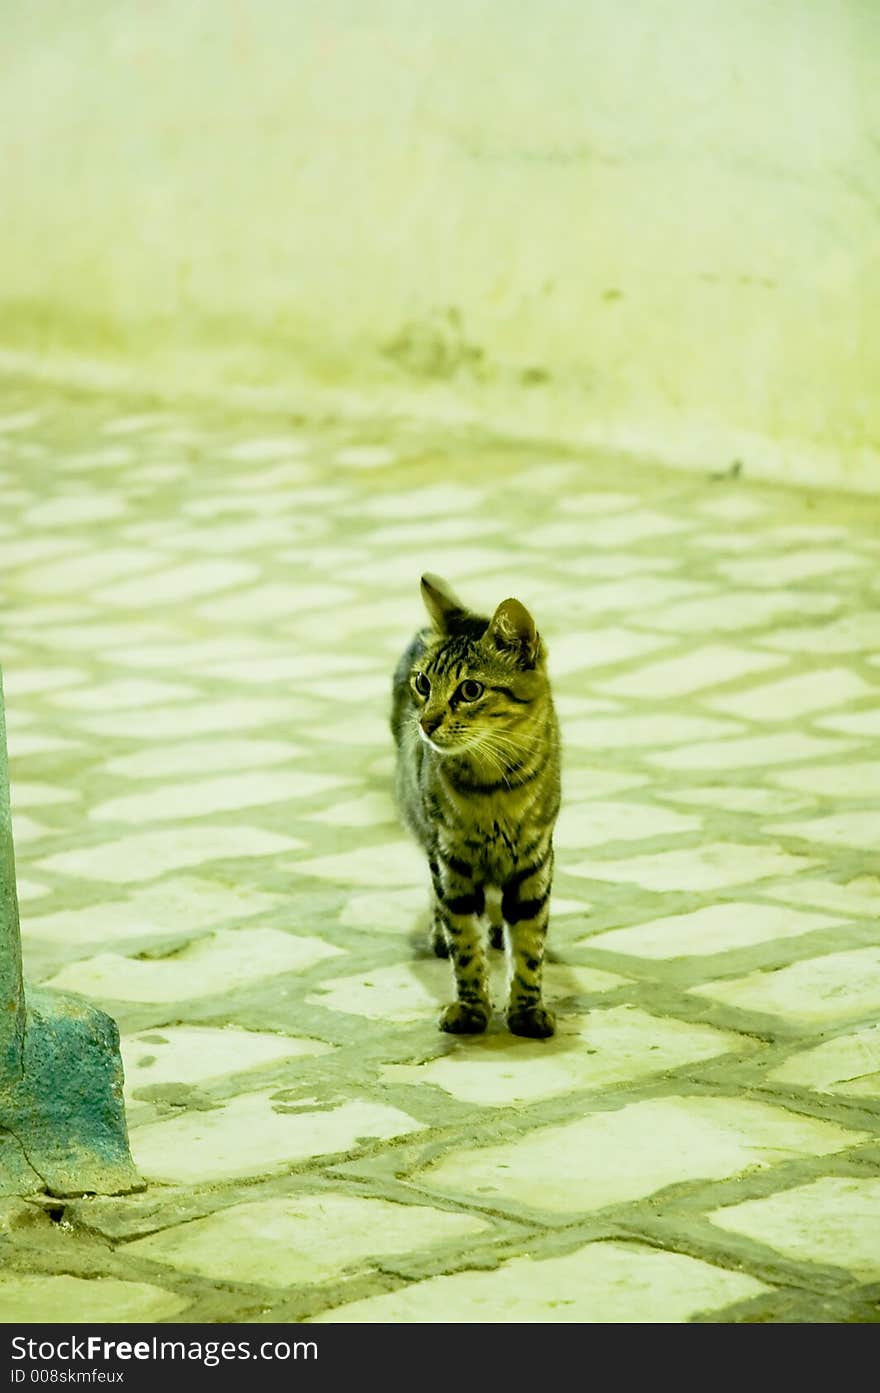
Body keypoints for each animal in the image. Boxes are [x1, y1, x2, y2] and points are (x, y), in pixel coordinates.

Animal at [392, 568, 562, 1036]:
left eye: (469, 690)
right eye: (424, 684)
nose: (427, 722)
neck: (494, 787)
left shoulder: (535, 861)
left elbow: (530, 943)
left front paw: (526, 1009)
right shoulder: (452, 861)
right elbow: (464, 943)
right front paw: (471, 1009)